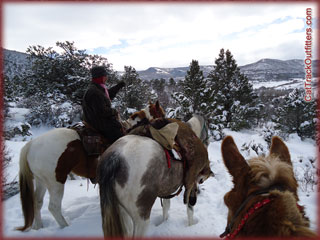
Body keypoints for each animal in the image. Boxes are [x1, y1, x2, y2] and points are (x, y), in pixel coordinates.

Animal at [16, 101, 165, 231]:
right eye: (161, 114)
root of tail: (31, 145)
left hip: (41, 180)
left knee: (37, 202)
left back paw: (38, 226)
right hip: (55, 182)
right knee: (53, 207)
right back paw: (66, 227)